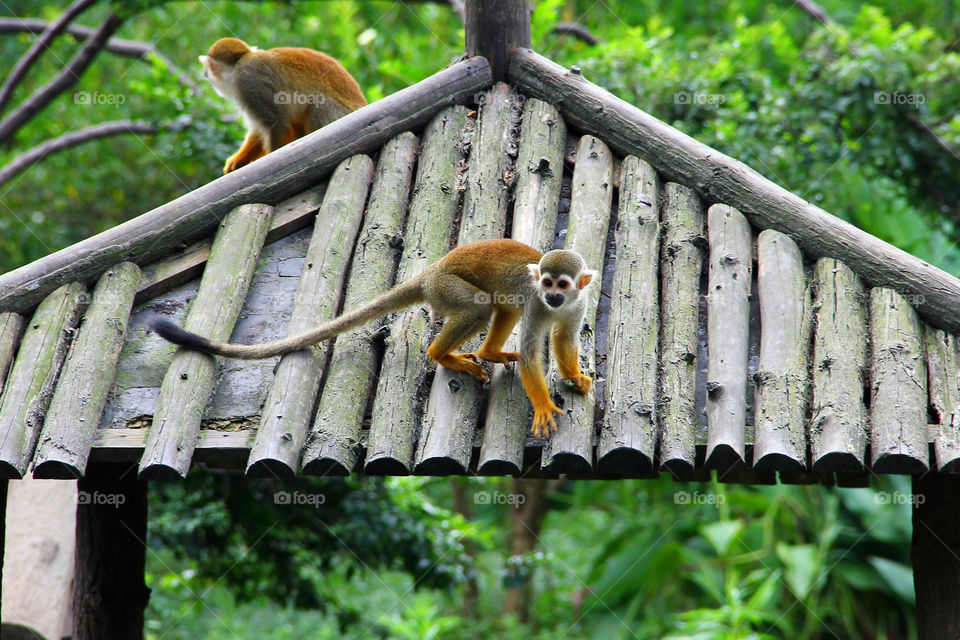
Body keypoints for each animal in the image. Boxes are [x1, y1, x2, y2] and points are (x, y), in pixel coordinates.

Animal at [150, 238, 596, 438]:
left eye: (563, 284)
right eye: (547, 283)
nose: (553, 294)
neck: (555, 304)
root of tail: (430, 271)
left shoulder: (577, 303)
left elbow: (564, 340)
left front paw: (574, 376)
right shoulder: (537, 304)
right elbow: (532, 353)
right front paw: (543, 407)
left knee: (500, 307)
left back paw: (489, 351)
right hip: (447, 288)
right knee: (479, 307)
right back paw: (443, 354)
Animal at [201, 38, 366, 174]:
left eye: (208, 71)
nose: (204, 74)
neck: (241, 63)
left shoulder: (249, 81)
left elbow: (277, 125)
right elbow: (258, 131)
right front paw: (237, 161)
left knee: (320, 104)